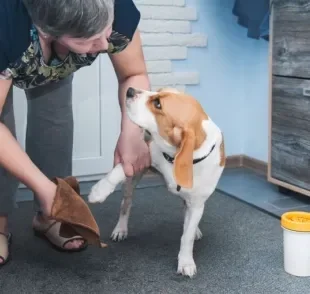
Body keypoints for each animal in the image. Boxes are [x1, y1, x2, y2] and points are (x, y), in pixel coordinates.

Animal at [87, 87, 225, 278]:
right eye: (157, 91)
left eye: (158, 104)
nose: (130, 90)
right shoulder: (142, 155)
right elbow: (117, 172)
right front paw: (99, 190)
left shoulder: (197, 203)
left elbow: (187, 235)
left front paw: (186, 261)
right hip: (132, 181)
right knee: (125, 204)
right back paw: (120, 229)